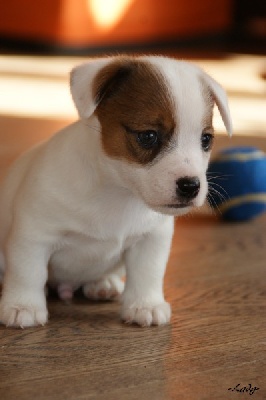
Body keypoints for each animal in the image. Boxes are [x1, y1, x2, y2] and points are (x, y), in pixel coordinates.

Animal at [0, 54, 232, 326]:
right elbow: (28, 273)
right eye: (148, 136)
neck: (118, 192)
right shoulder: (33, 235)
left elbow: (148, 273)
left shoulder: (151, 239)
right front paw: (22, 305)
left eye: (206, 140)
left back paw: (103, 283)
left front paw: (145, 305)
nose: (191, 186)